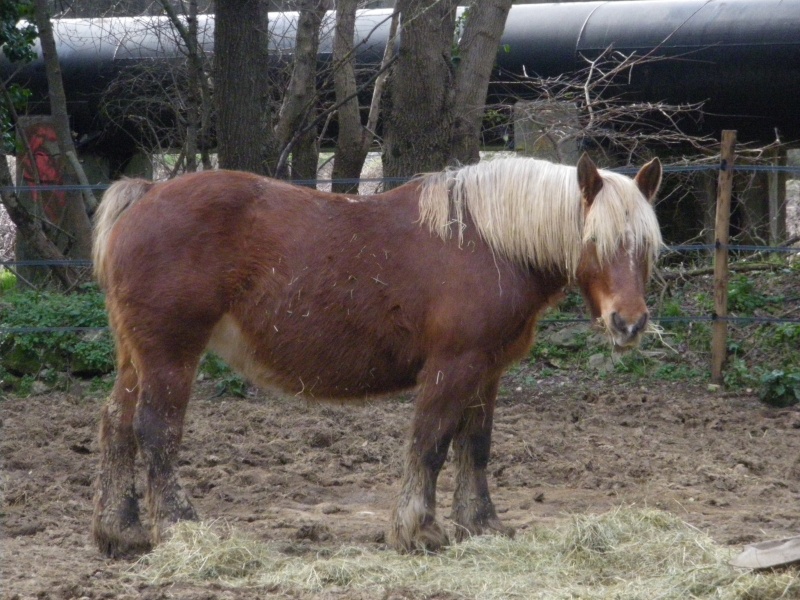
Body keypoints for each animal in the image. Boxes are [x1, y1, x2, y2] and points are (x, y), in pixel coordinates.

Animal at [90, 154, 664, 556]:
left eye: (647, 247)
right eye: (594, 241)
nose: (629, 323)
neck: (490, 244)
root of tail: (147, 193)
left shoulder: (487, 371)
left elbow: (475, 446)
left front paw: (480, 524)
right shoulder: (452, 367)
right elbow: (430, 444)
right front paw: (418, 530)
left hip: (137, 358)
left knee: (116, 425)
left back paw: (121, 533)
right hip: (170, 356)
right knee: (155, 431)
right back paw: (179, 526)